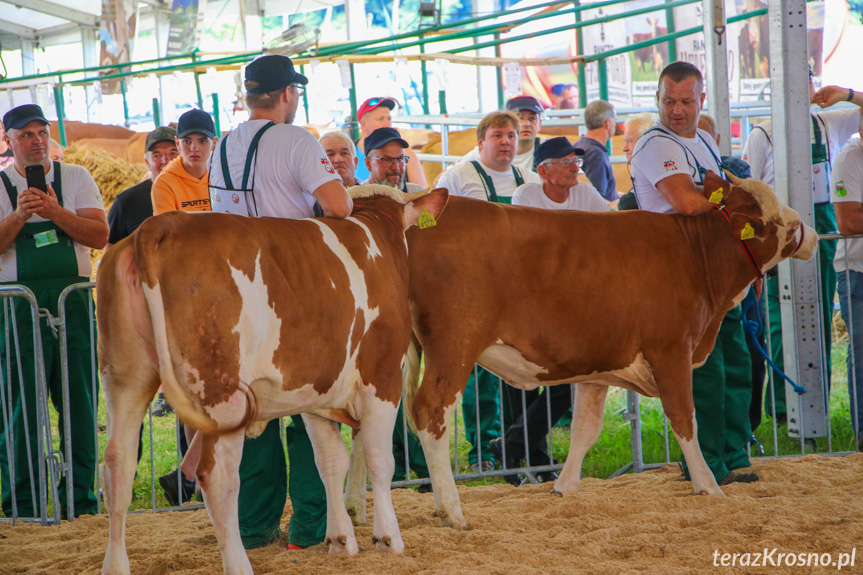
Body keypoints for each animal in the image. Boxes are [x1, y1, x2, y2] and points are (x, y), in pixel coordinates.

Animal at [100, 187, 448, 572]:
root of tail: (159, 225)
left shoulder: (316, 394)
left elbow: (330, 463)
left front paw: (341, 540)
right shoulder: (382, 377)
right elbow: (379, 460)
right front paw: (388, 539)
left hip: (125, 379)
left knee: (118, 466)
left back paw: (114, 566)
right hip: (221, 392)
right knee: (217, 477)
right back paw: (238, 564)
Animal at [346, 170, 816, 532]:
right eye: (778, 220)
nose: (808, 232)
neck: (693, 255)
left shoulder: (598, 366)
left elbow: (584, 429)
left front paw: (565, 487)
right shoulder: (671, 350)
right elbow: (685, 419)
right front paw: (708, 485)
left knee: (370, 417)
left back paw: (356, 510)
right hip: (454, 343)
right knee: (431, 412)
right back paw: (451, 510)